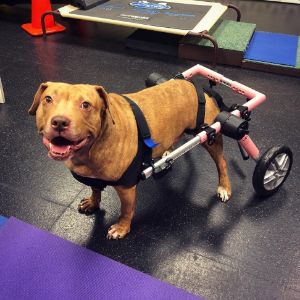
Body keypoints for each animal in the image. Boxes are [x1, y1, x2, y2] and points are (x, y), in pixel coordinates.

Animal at [28, 79, 232, 239]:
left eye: (85, 105)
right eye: (48, 99)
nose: (59, 121)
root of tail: (201, 89)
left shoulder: (126, 188)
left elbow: (126, 210)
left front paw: (122, 228)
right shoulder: (94, 178)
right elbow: (95, 189)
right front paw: (93, 202)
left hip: (211, 136)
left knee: (221, 162)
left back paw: (224, 187)